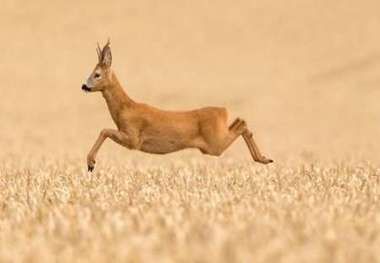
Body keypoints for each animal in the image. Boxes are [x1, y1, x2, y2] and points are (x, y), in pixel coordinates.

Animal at [82, 40, 274, 172]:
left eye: (97, 74)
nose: (84, 86)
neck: (125, 109)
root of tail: (223, 111)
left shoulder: (133, 138)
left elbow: (104, 130)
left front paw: (91, 163)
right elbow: (104, 130)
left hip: (214, 145)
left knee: (241, 123)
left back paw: (264, 159)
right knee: (240, 121)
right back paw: (264, 158)